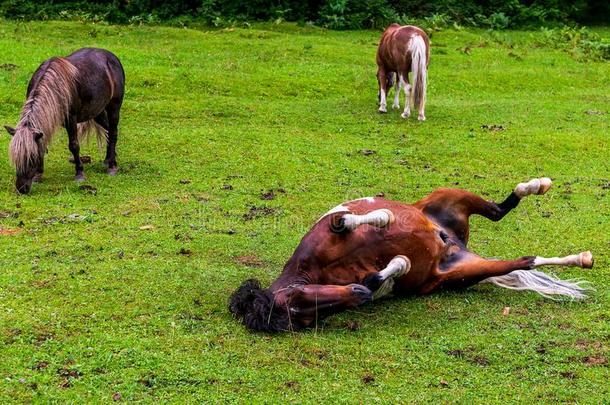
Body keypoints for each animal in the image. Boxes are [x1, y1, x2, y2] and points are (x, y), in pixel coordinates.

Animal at [4, 47, 126, 193]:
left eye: (31, 157)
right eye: (15, 158)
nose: (22, 188)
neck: (55, 86)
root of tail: (111, 57)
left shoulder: (71, 119)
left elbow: (74, 145)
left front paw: (79, 174)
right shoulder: (48, 121)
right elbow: (43, 144)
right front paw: (38, 175)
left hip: (114, 107)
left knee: (113, 132)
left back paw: (112, 167)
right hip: (97, 112)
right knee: (108, 131)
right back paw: (108, 159)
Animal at [230, 178, 592, 332]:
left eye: (298, 302)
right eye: (305, 319)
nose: (358, 295)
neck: (313, 270)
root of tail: (455, 243)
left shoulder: (332, 227)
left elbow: (349, 219)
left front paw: (383, 217)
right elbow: (380, 275)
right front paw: (398, 264)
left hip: (449, 195)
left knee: (499, 210)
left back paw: (539, 185)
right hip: (462, 273)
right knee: (523, 258)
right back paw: (580, 258)